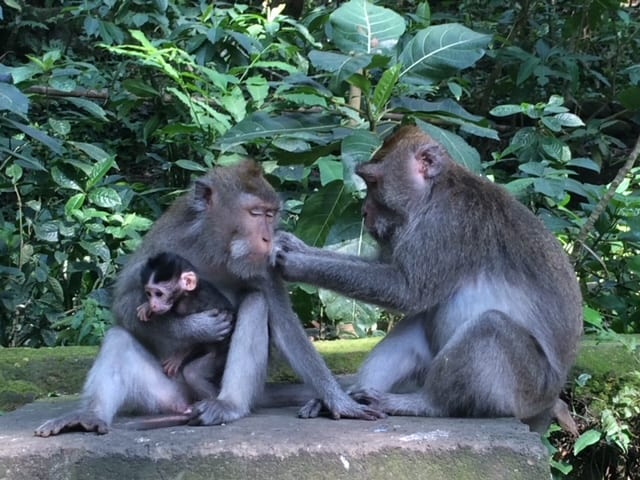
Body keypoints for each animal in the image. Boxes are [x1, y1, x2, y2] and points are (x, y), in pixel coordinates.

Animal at [138, 253, 235, 400]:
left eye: (159, 294)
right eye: (149, 294)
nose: (153, 304)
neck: (188, 294)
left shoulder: (191, 305)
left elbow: (199, 337)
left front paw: (178, 357)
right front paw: (147, 307)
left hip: (221, 356)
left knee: (193, 374)